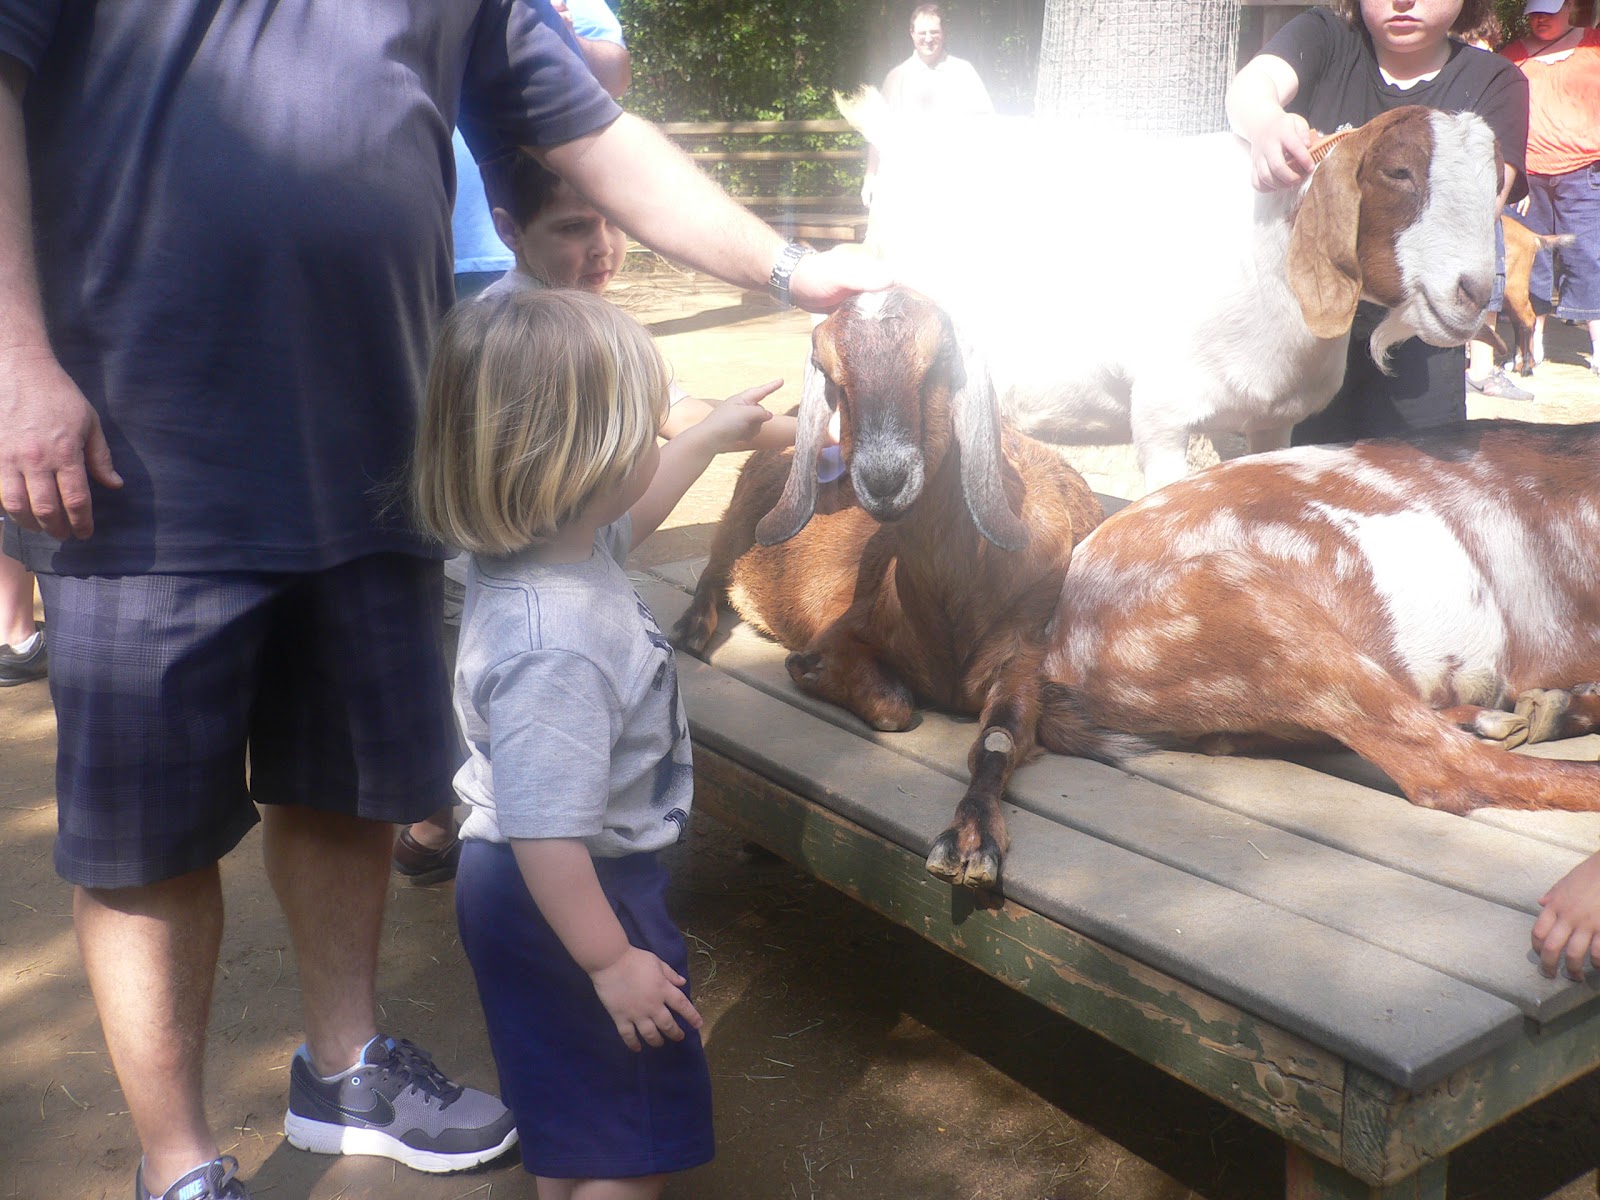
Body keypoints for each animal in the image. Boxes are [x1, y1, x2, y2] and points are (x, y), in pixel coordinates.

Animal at [674, 287, 1105, 889]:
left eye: (939, 361)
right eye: (834, 375)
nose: (883, 479)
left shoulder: (1024, 656)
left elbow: (998, 740)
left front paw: (971, 840)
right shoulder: (843, 628)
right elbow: (893, 707)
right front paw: (810, 671)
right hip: (738, 520)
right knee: (714, 573)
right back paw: (690, 629)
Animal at [842, 91, 1502, 490]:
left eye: (1495, 184)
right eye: (1398, 170)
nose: (1474, 290)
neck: (1260, 259)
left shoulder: (1272, 423)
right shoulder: (1162, 416)